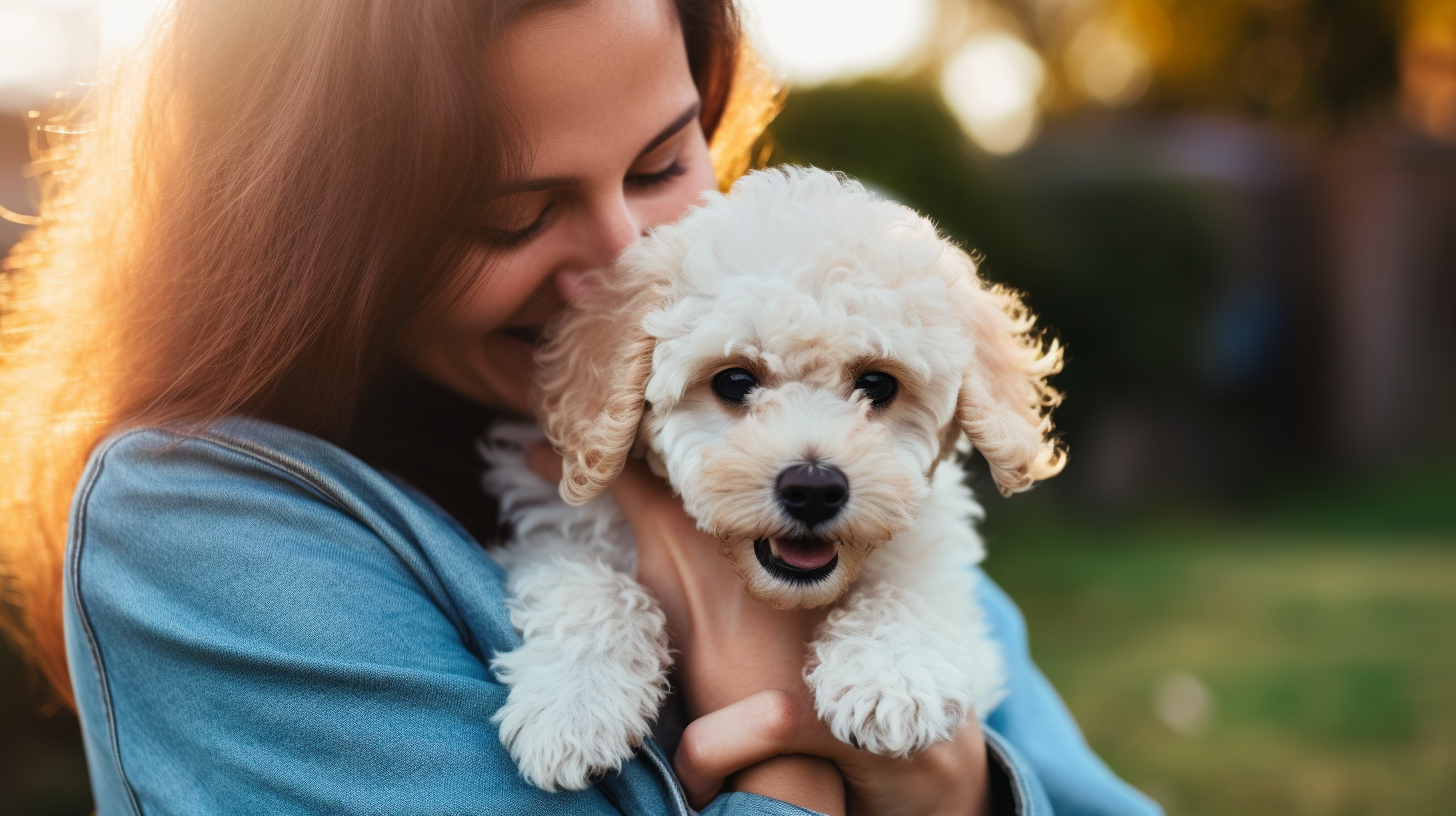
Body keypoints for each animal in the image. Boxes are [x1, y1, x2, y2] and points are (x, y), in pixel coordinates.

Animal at [483, 163, 1065, 792]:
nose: (813, 488)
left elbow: (910, 586)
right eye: (734, 380)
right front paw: (574, 705)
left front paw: (894, 675)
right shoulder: (559, 525)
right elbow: (589, 585)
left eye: (878, 384)